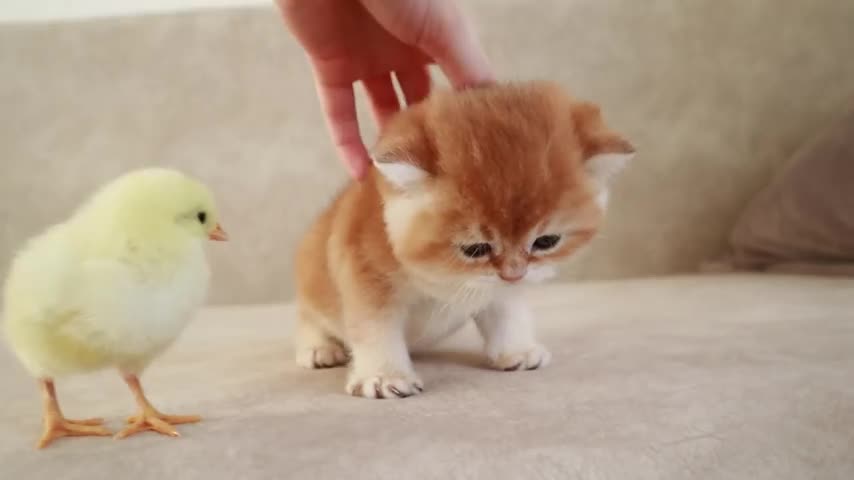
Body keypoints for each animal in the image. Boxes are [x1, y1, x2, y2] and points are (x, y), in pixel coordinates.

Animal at [294, 80, 636, 400]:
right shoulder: (364, 270)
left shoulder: (499, 288)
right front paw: (383, 376)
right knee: (309, 315)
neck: (441, 275)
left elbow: (506, 311)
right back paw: (319, 348)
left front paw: (517, 350)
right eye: (475, 249)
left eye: (546, 241)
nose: (515, 274)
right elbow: (374, 328)